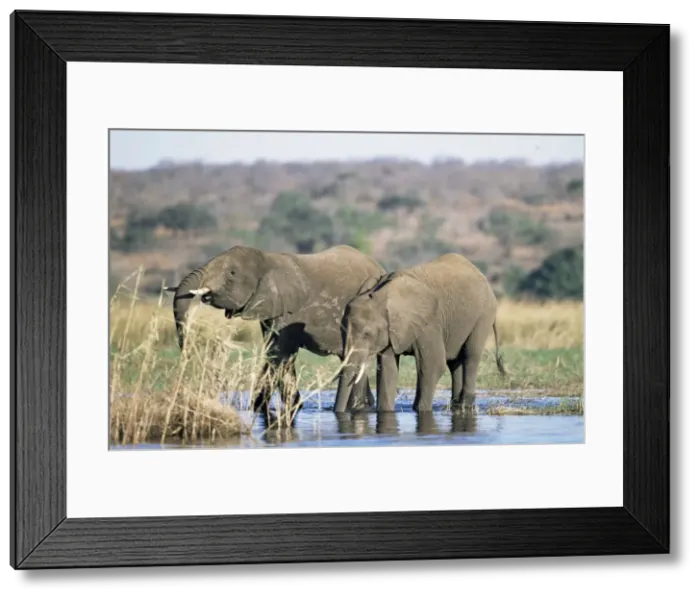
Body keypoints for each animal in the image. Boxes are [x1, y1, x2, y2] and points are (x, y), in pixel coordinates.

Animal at [165, 244, 393, 417]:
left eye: (231, 274)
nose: (185, 347)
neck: (266, 259)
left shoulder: (289, 309)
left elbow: (280, 353)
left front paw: (267, 408)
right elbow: (276, 352)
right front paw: (286, 407)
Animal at [334, 252, 507, 413]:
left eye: (367, 334)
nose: (337, 412)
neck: (380, 295)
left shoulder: (430, 322)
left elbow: (433, 364)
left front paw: (421, 410)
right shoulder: (392, 332)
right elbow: (388, 370)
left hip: (483, 315)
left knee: (471, 355)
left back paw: (464, 406)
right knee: (454, 362)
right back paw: (455, 407)